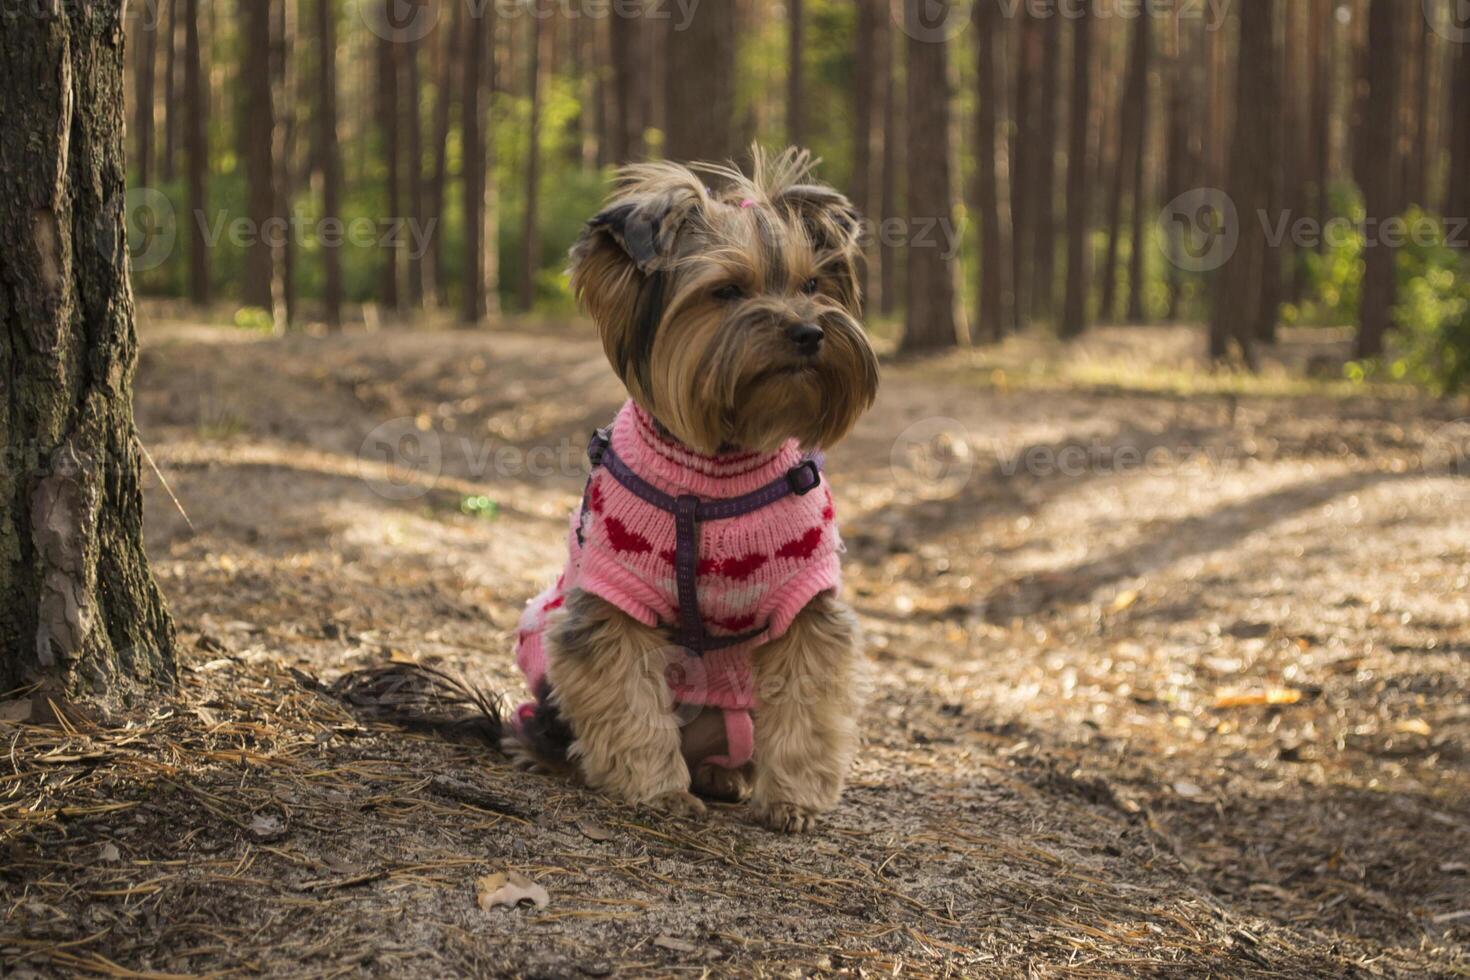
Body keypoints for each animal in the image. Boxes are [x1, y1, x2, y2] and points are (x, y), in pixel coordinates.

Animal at [336, 147, 870, 834]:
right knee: (545, 726)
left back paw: (722, 775)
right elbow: (625, 696)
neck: (712, 470)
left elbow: (810, 700)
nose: (809, 333)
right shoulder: (613, 600)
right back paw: (554, 759)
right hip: (550, 686)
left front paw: (795, 800)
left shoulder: (805, 604)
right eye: (727, 290)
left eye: (811, 285)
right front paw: (658, 791)